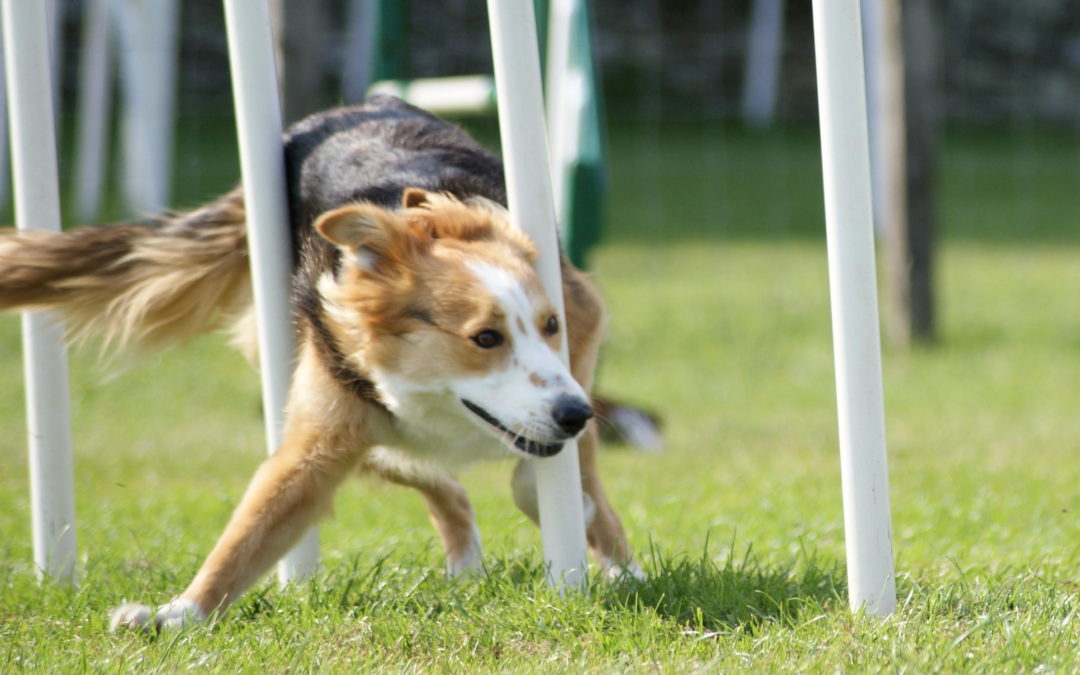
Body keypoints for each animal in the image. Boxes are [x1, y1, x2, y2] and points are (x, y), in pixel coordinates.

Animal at [0, 96, 635, 630]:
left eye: (549, 326)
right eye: (484, 338)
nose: (578, 413)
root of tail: (341, 112)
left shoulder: (581, 325)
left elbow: (552, 474)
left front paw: (603, 544)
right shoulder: (319, 436)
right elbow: (250, 530)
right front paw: (177, 614)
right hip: (328, 401)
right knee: (436, 479)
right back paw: (466, 565)